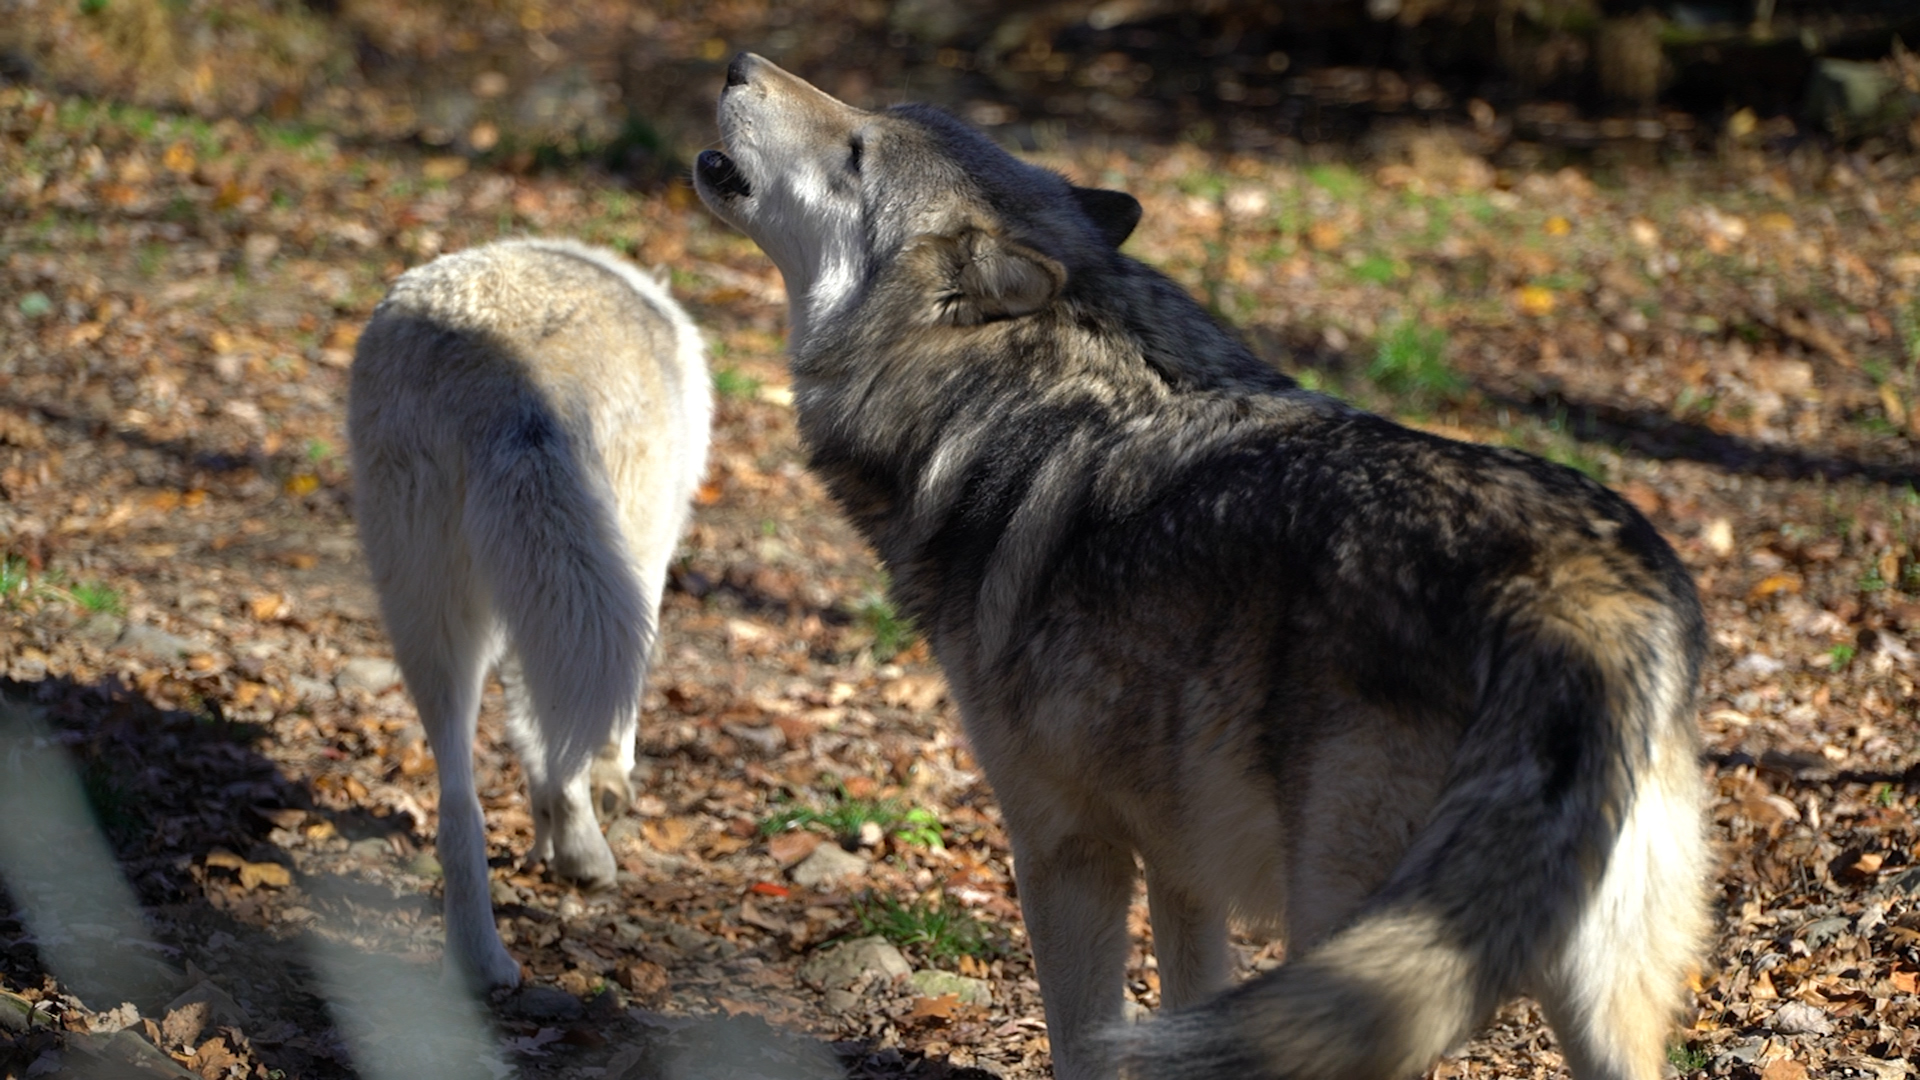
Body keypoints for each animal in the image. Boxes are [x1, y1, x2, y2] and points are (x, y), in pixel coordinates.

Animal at [349, 238, 711, 989]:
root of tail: (506, 380)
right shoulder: (646, 566)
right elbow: (597, 729)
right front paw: (594, 805)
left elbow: (528, 732)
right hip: (604, 573)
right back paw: (585, 856)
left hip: (431, 620)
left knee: (459, 807)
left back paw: (481, 959)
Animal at [695, 54, 1710, 1080]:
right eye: (869, 118)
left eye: (856, 150)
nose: (741, 64)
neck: (1003, 404)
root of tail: (1576, 593)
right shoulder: (1184, 862)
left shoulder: (1065, 846)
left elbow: (1080, 1037)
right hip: (1584, 997)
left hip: (1352, 951)